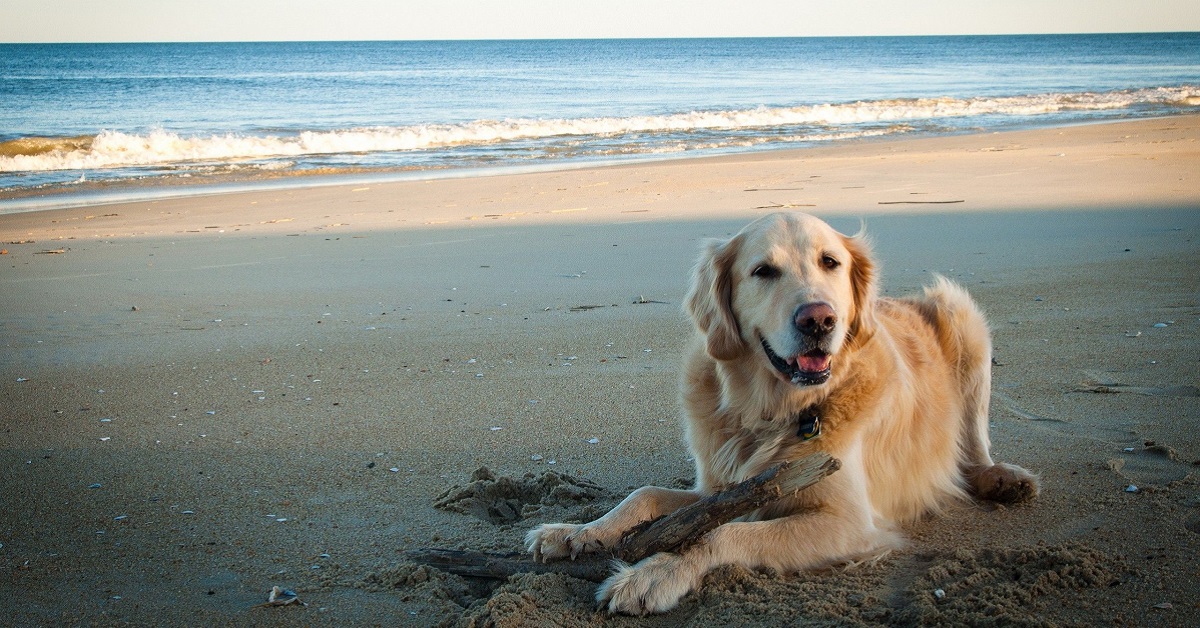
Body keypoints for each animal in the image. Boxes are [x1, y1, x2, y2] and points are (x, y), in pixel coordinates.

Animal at [525, 213, 1041, 614]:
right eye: (763, 271)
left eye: (830, 262)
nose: (819, 319)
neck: (773, 411)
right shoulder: (719, 489)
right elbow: (644, 496)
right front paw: (576, 532)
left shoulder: (848, 522)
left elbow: (720, 534)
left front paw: (654, 574)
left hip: (962, 315)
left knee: (974, 442)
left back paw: (1001, 478)